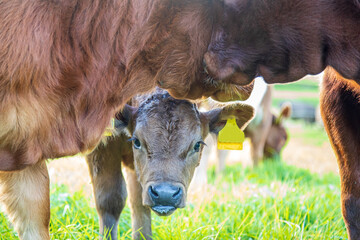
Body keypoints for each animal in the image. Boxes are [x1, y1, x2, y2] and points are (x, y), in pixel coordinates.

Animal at [85, 89, 253, 239]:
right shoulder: (102, 149)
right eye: (136, 141)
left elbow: (139, 204)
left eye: (197, 145)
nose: (165, 194)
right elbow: (110, 200)